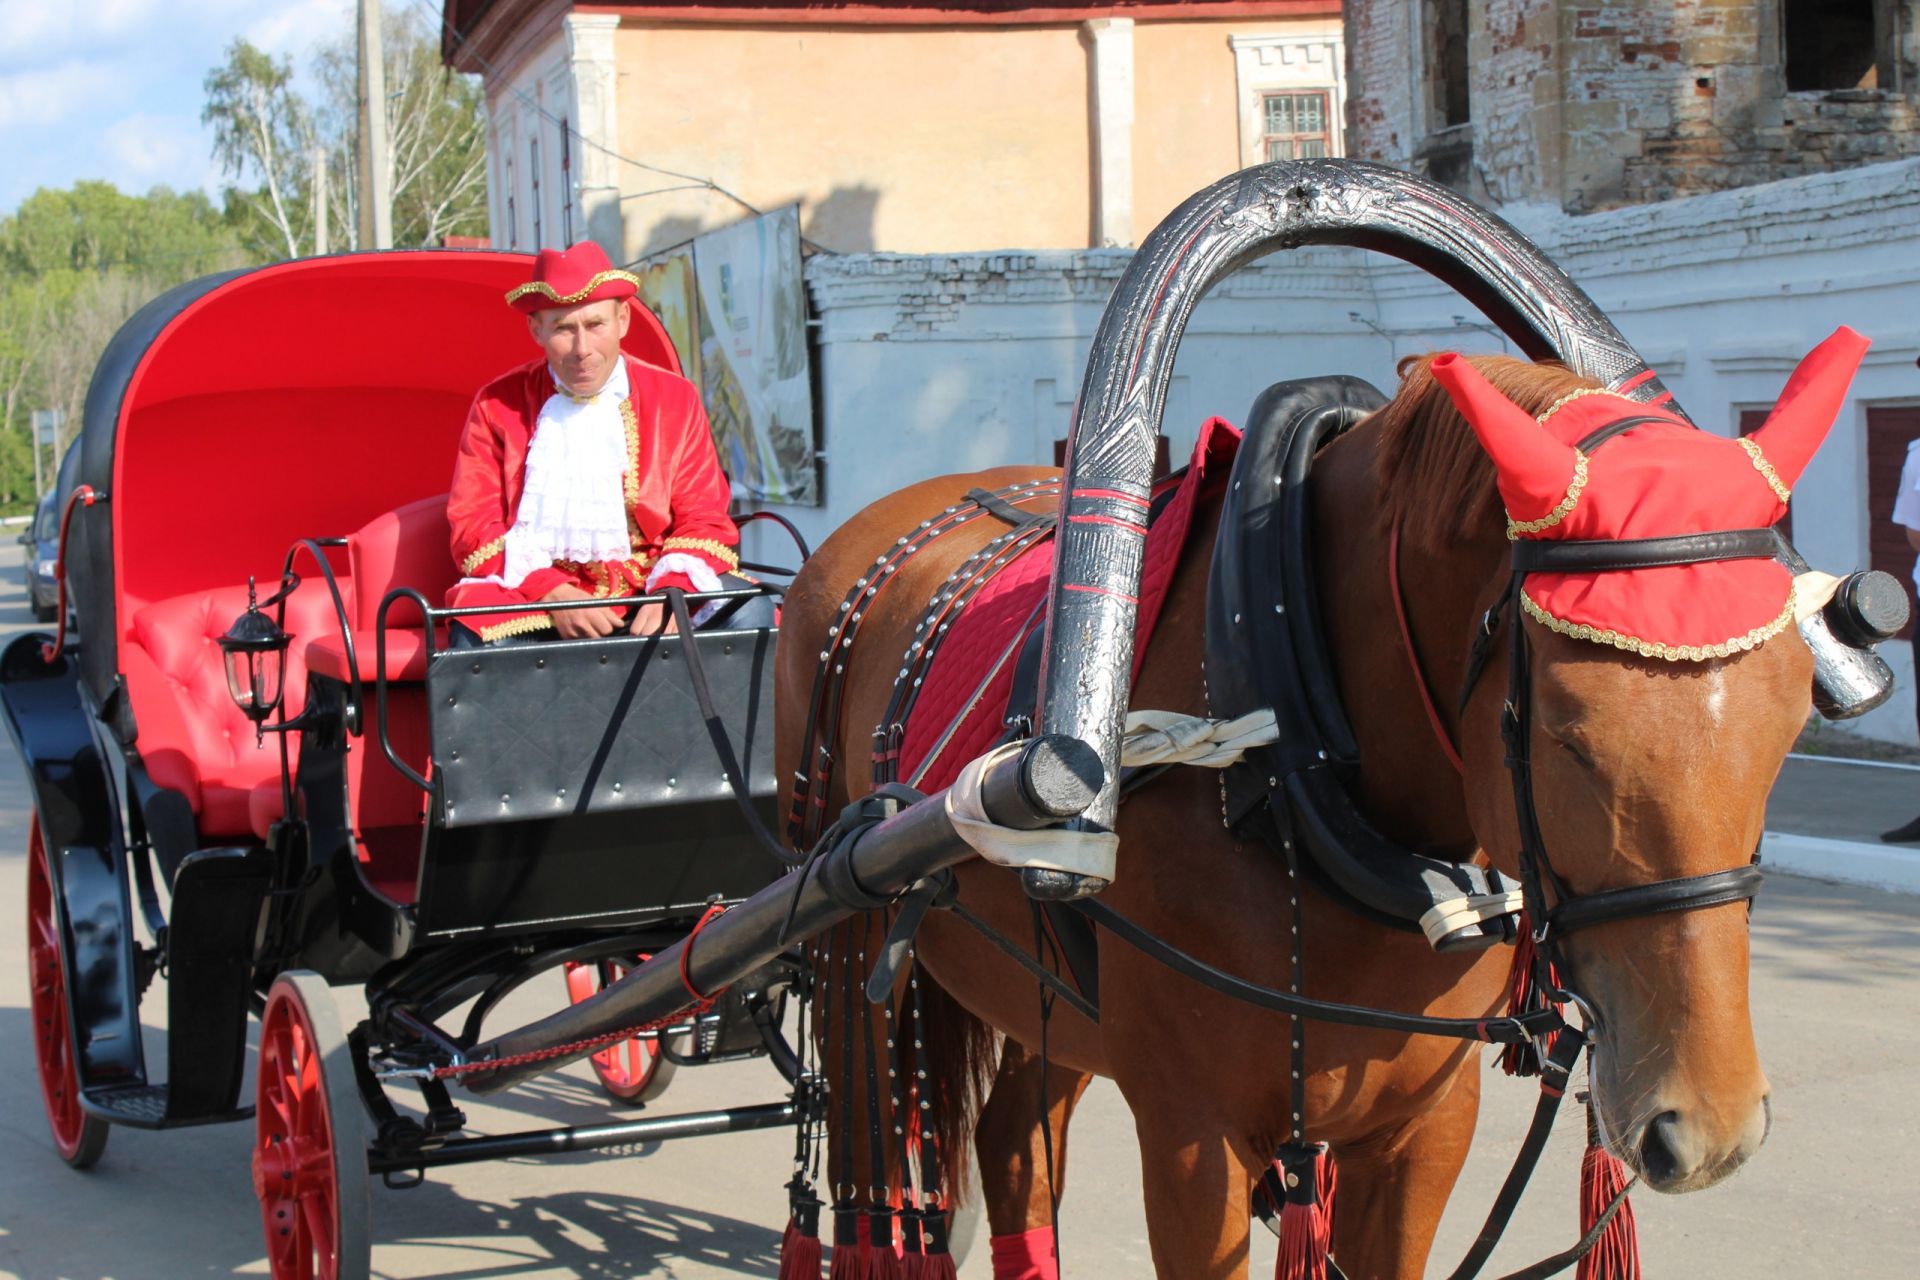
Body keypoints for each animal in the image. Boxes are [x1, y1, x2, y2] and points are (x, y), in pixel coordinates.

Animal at [768, 353, 1797, 1280]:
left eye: (1792, 724)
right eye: (1566, 735)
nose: (1708, 1130)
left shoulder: (1425, 1128)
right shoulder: (1194, 1138)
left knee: (1014, 1144)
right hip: (852, 943)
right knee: (872, 1173)